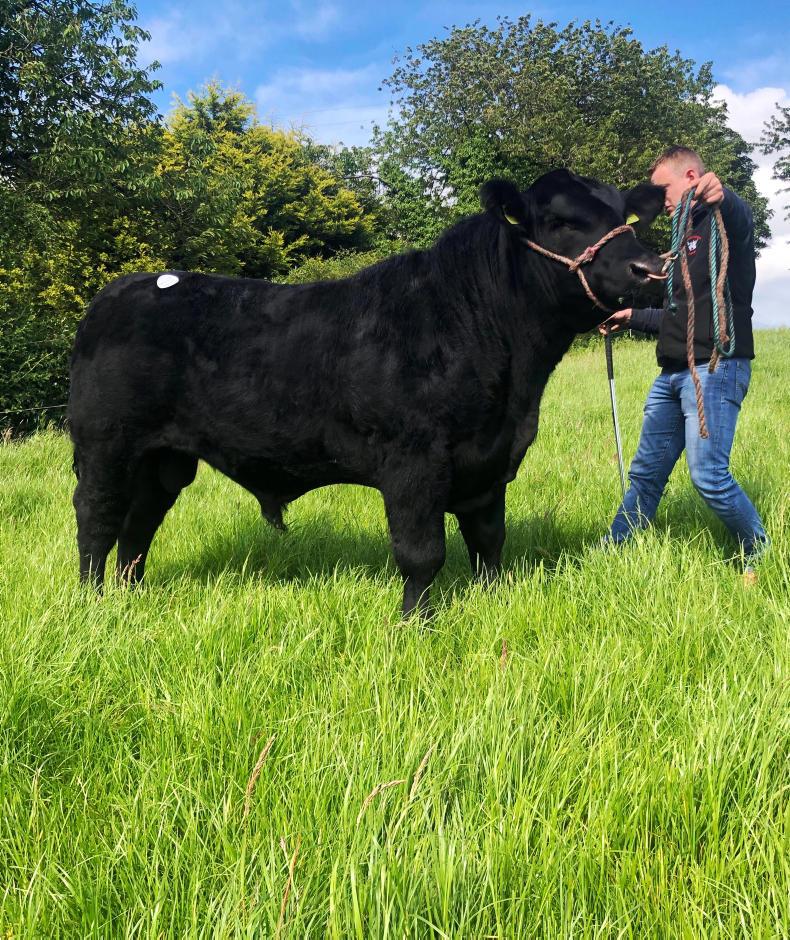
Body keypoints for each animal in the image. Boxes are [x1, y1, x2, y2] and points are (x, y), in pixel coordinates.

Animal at [68, 169, 666, 617]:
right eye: (560, 220)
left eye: (625, 217)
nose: (649, 269)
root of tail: (125, 288)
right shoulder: (413, 461)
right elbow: (422, 553)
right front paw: (415, 624)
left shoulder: (490, 463)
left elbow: (488, 542)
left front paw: (493, 602)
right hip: (105, 443)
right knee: (98, 514)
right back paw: (94, 602)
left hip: (165, 456)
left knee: (140, 521)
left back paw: (129, 593)